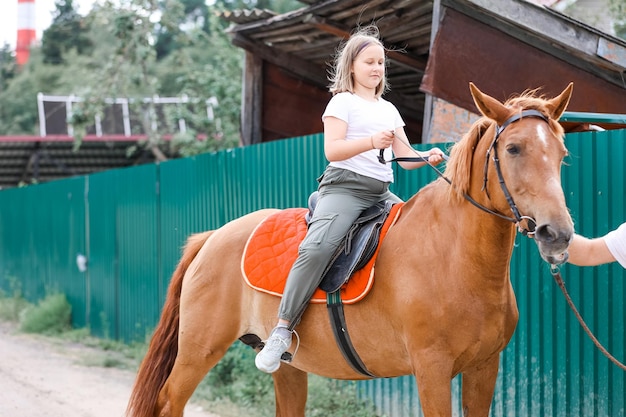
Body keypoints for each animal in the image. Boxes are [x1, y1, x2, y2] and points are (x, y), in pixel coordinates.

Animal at [127, 83, 576, 414]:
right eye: (513, 149)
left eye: (561, 153)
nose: (557, 234)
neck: (455, 257)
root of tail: (212, 237)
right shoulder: (431, 371)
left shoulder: (484, 368)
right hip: (198, 351)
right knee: (168, 403)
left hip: (288, 368)